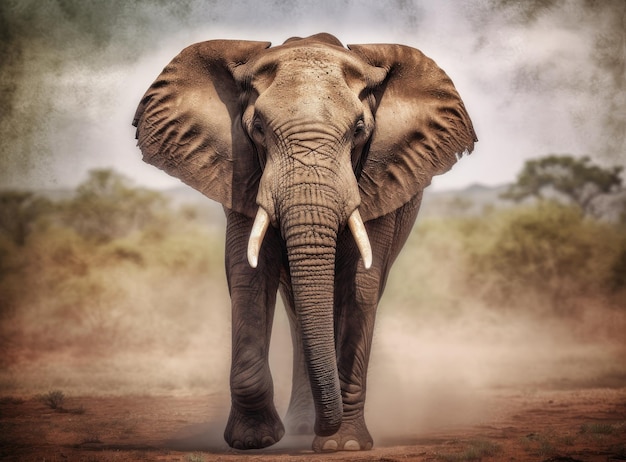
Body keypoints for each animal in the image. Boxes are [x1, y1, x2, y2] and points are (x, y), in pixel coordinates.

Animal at [130, 34, 472, 452]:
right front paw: (254, 440)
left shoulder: (379, 179)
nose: (326, 427)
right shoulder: (242, 174)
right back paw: (299, 427)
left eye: (359, 129)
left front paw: (344, 446)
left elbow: (361, 284)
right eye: (258, 127)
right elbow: (248, 275)